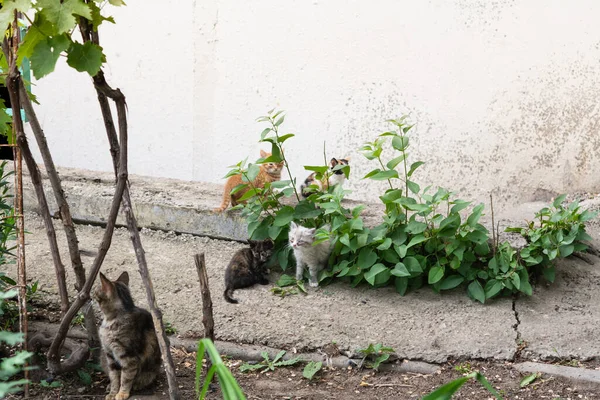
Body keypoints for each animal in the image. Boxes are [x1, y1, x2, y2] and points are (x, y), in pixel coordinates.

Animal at [92, 272, 162, 400]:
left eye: (95, 292)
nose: (90, 296)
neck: (109, 321)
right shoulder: (110, 355)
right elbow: (115, 377)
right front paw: (113, 393)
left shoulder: (129, 357)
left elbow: (126, 378)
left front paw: (122, 393)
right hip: (103, 357)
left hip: (149, 369)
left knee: (146, 378)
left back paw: (138, 384)